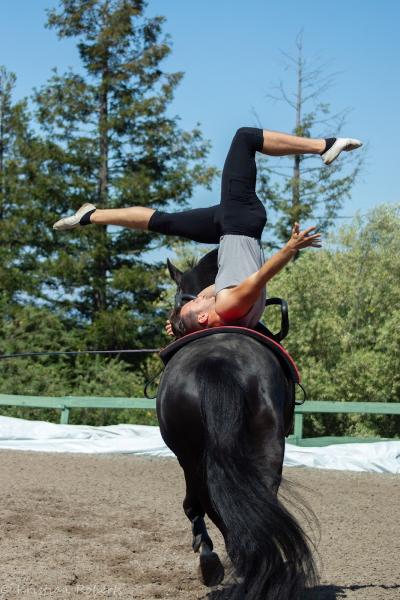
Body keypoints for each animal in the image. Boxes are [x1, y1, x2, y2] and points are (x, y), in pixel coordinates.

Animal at [156, 248, 316, 596]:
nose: (171, 324)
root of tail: (216, 363)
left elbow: (195, 506)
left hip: (196, 457)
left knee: (210, 504)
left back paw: (225, 564)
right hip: (265, 447)